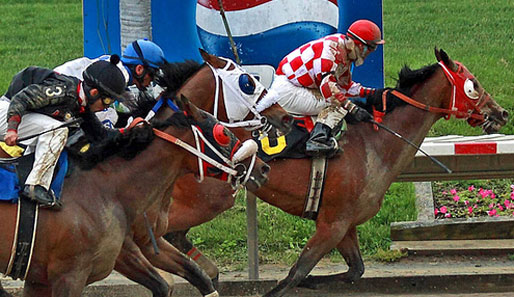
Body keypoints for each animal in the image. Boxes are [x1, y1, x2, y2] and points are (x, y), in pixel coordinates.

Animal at [0, 96, 256, 294]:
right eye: (223, 133)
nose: (260, 167)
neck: (106, 189)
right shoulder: (69, 275)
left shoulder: (40, 278)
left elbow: (184, 278)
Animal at [163, 47, 504, 294]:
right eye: (473, 85)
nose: (501, 112)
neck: (375, 143)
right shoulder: (331, 224)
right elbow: (295, 274)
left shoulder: (345, 225)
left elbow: (354, 271)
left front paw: (314, 282)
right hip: (204, 201)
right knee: (166, 234)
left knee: (175, 237)